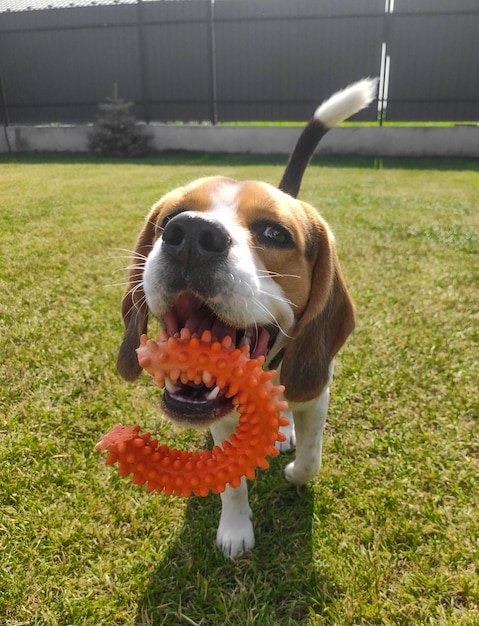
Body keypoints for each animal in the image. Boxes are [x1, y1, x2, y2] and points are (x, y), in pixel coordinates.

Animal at [117, 77, 378, 556]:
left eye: (275, 233)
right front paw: (235, 530)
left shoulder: (318, 394)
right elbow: (232, 481)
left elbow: (311, 458)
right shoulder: (221, 419)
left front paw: (294, 469)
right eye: (170, 218)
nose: (191, 234)